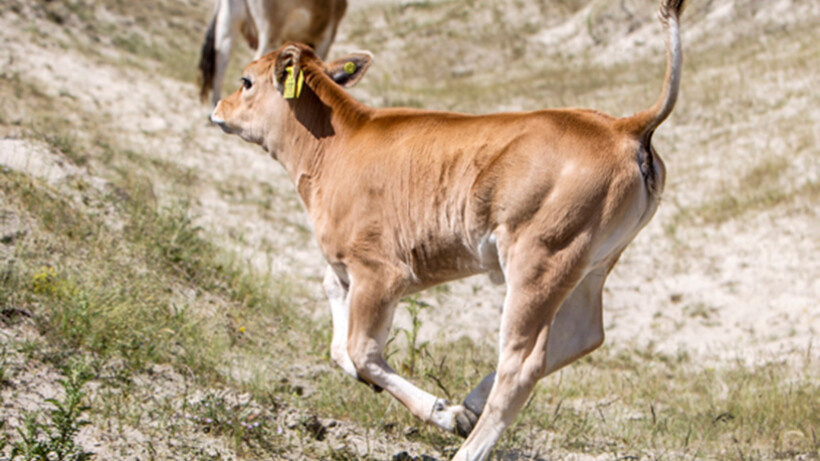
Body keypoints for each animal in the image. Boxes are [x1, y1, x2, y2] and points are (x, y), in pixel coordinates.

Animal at [210, 0, 684, 454]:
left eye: (246, 81)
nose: (217, 109)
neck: (337, 144)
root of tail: (622, 126)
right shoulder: (345, 267)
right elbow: (339, 342)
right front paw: (451, 410)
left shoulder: (380, 271)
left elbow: (362, 352)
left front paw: (440, 412)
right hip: (592, 264)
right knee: (583, 335)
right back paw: (472, 405)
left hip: (541, 259)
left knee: (523, 364)